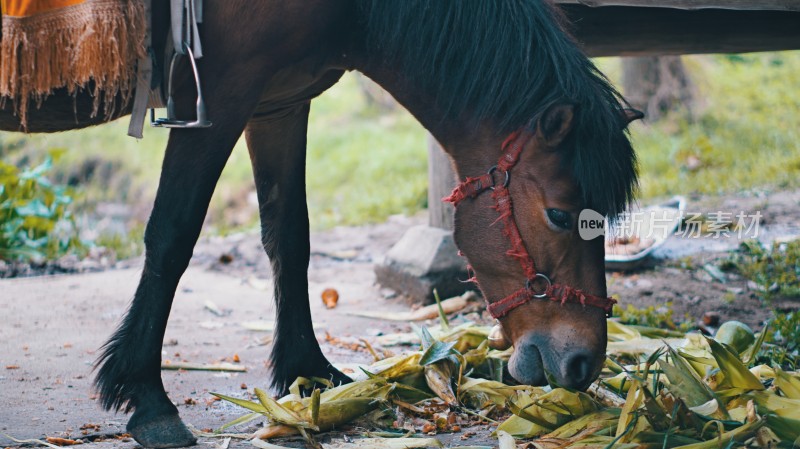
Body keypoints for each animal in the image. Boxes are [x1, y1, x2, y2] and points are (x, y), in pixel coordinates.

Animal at [0, 0, 636, 444]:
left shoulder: (277, 101)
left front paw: (308, 372)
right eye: (561, 215)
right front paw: (146, 395)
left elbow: (290, 237)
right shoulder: (217, 96)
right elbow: (173, 236)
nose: (583, 362)